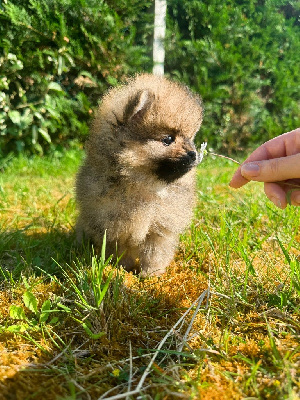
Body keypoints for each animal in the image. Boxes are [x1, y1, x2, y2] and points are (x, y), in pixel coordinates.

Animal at [75, 73, 204, 276]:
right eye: (168, 139)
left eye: (190, 139)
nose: (193, 154)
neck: (147, 186)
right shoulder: (114, 228)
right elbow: (121, 251)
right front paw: (123, 268)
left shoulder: (159, 229)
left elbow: (155, 253)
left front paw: (151, 274)